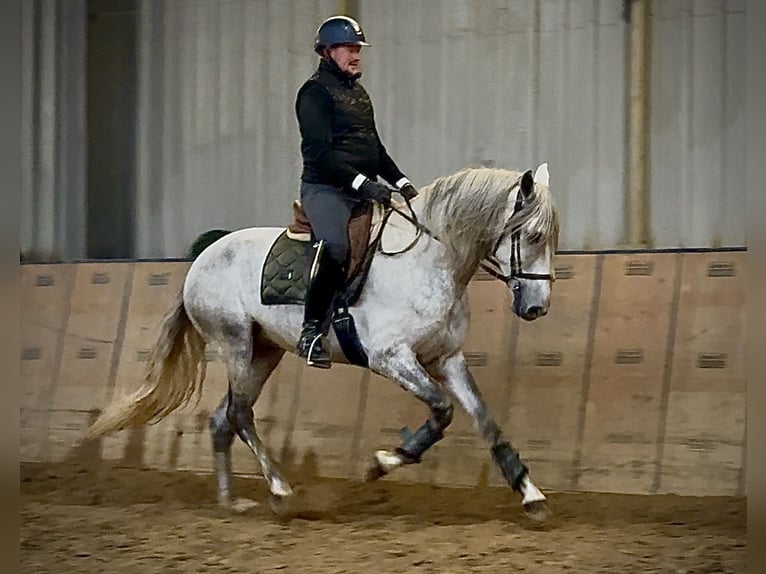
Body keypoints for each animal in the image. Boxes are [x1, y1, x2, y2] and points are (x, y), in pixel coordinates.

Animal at [85, 164, 560, 520]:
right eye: (533, 236)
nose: (538, 307)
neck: (430, 259)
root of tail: (201, 260)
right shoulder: (391, 357)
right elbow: (442, 410)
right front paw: (382, 463)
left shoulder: (447, 358)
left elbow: (485, 420)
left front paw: (530, 494)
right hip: (235, 343)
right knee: (238, 415)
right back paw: (279, 491)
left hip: (264, 352)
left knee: (223, 419)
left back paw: (230, 502)